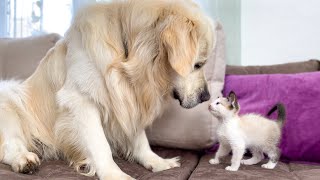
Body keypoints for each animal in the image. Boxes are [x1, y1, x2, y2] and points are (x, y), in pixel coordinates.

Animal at [0, 0, 216, 179]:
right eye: (198, 64)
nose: (206, 96)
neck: (126, 56)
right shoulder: (81, 99)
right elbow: (99, 144)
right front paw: (114, 174)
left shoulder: (129, 97)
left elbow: (140, 139)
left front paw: (157, 162)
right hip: (9, 98)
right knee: (9, 146)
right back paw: (24, 160)